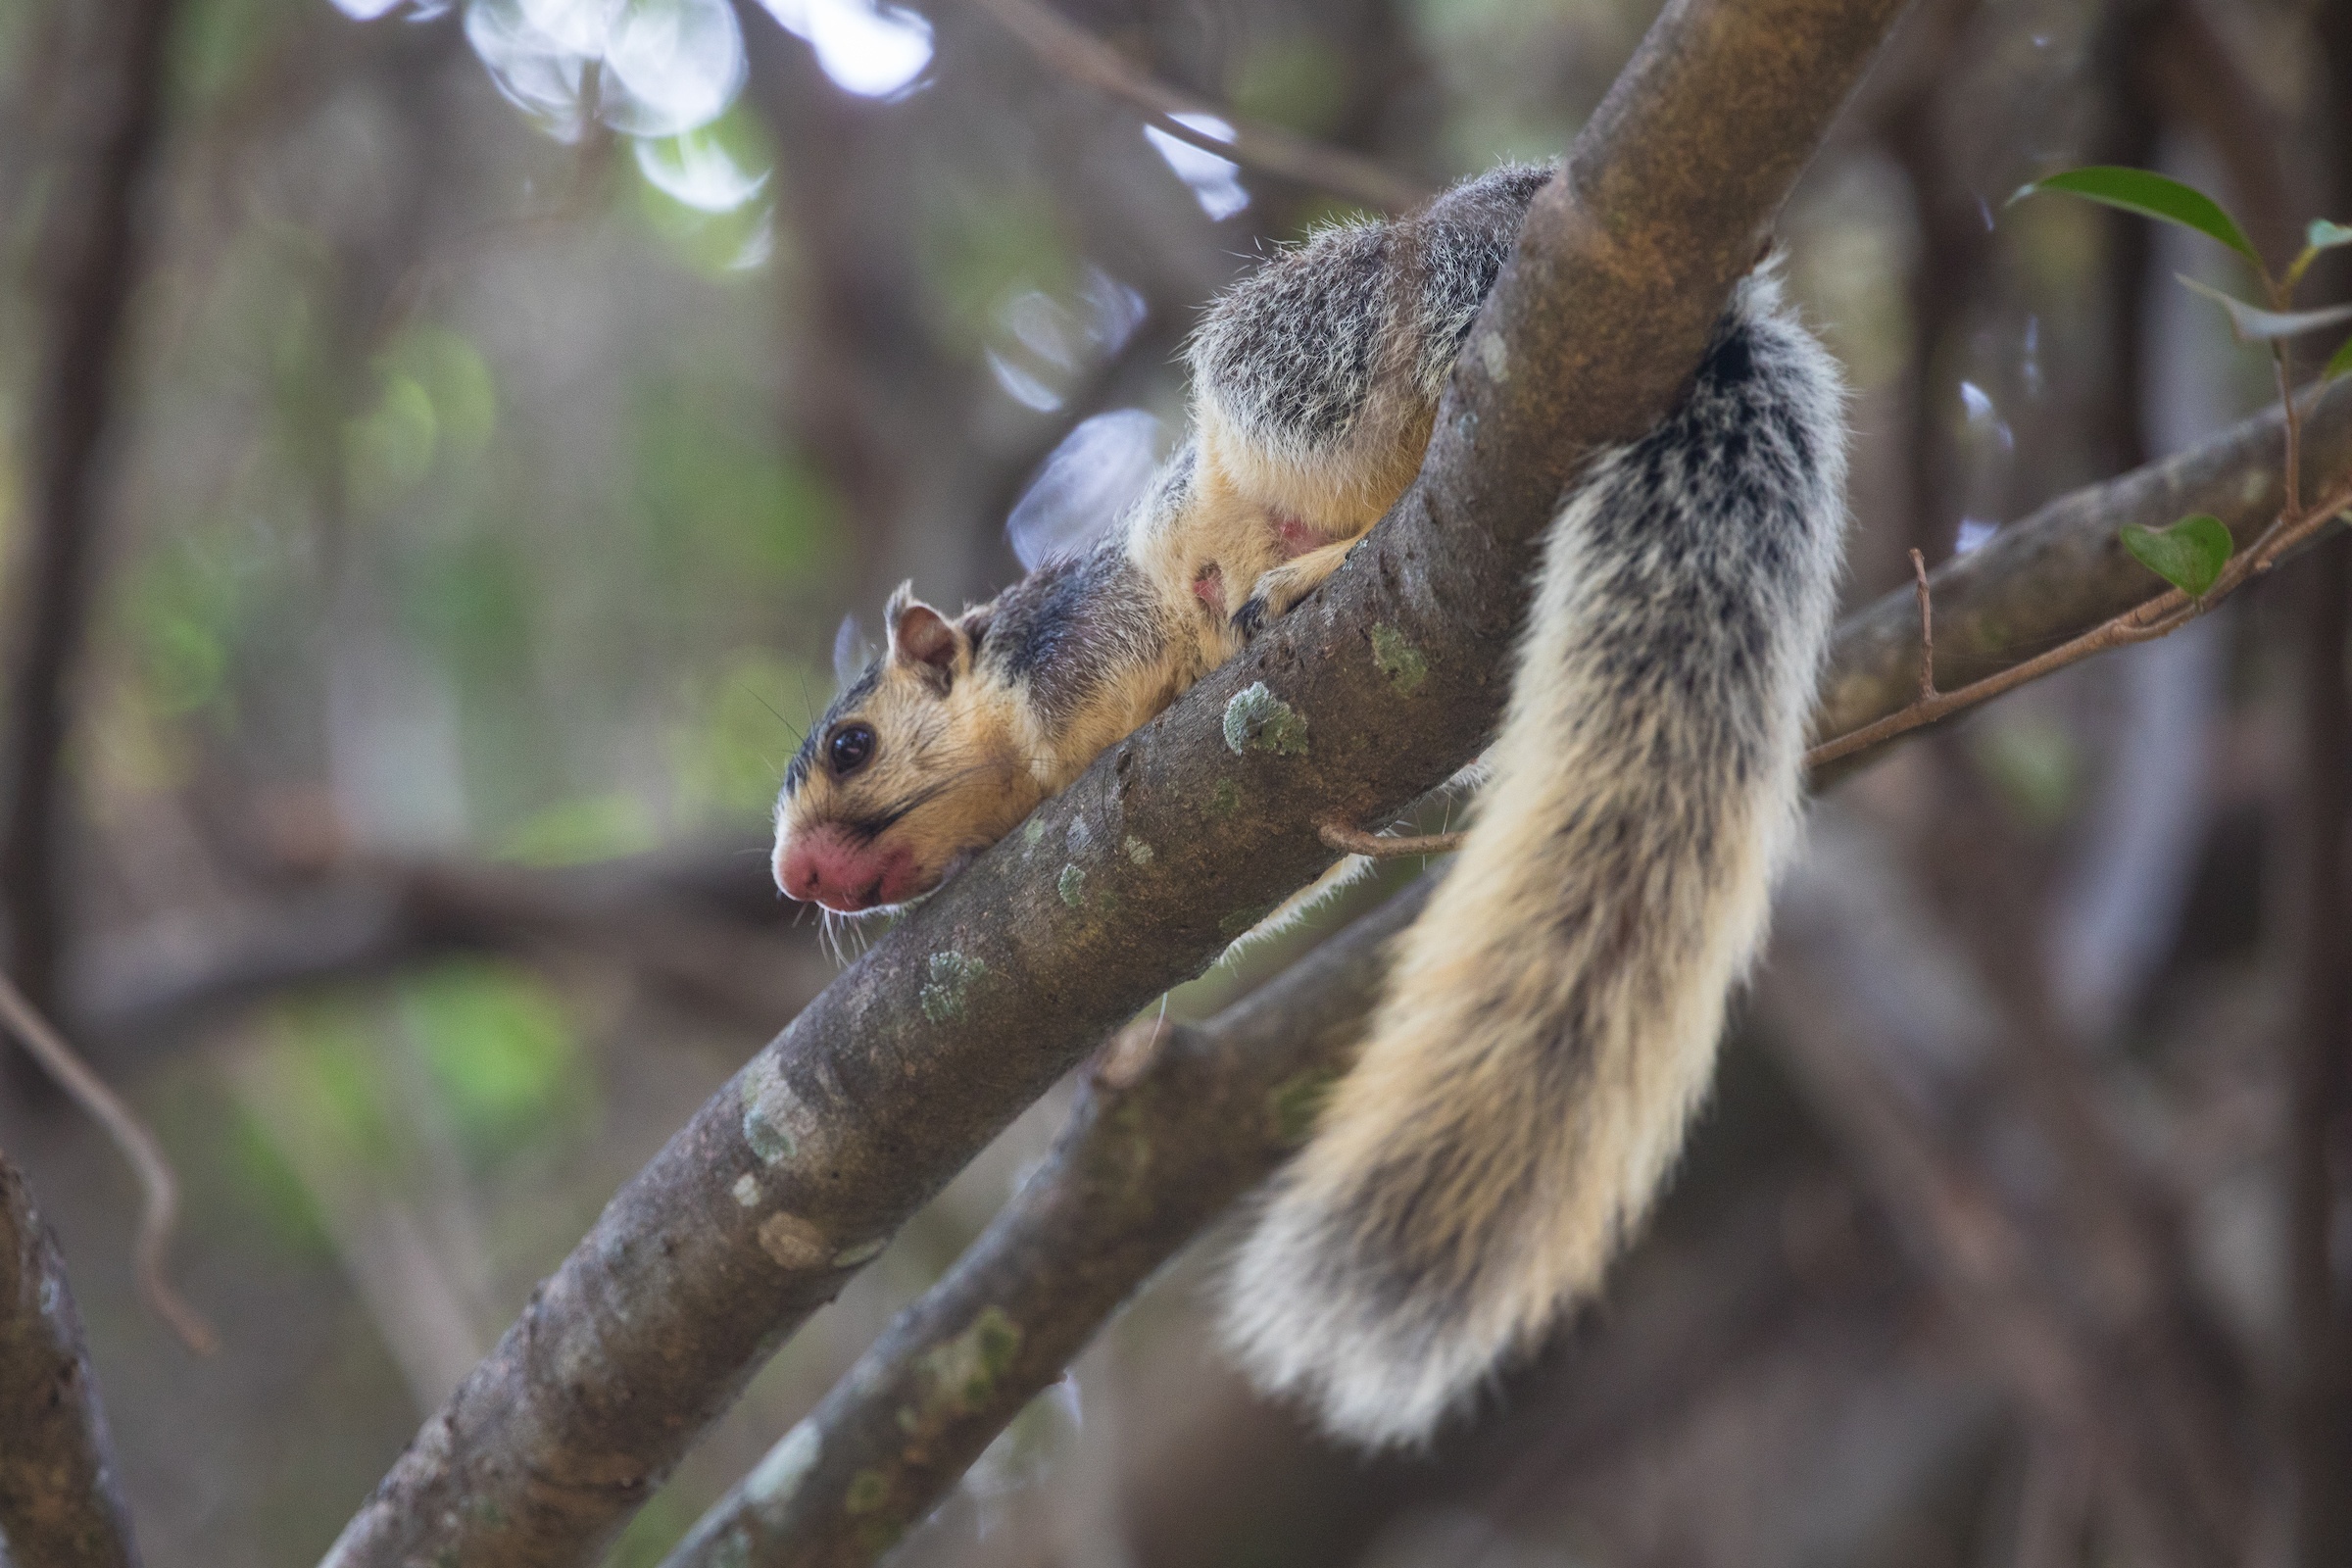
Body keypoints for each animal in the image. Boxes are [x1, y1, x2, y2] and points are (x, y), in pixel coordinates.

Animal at [772, 162, 1848, 1448]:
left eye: (852, 745)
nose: (795, 878)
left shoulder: (1078, 632)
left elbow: (1087, 691)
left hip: (1322, 349)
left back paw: (1312, 566)